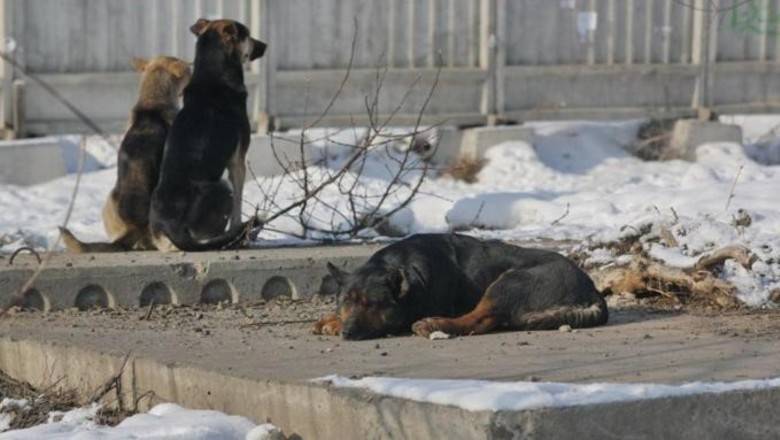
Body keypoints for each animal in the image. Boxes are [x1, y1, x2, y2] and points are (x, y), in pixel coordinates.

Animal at [149, 18, 268, 251]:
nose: (265, 45)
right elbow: (238, 206)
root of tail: (171, 225)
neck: (213, 75)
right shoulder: (237, 163)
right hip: (222, 187)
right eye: (247, 35)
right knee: (209, 235)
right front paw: (239, 229)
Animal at [314, 234, 608, 340]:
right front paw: (331, 319)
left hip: (508, 282)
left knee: (478, 320)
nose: (348, 333)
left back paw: (434, 324)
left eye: (373, 305)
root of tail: (591, 289)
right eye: (346, 302)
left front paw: (334, 324)